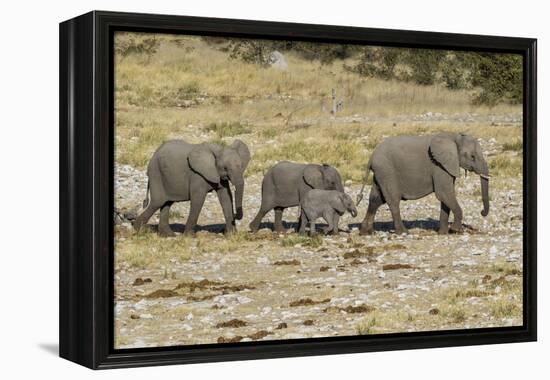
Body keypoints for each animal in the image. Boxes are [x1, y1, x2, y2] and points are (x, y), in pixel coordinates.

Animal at [360, 133, 494, 235]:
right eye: (472, 156)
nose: (482, 212)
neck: (453, 136)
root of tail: (371, 157)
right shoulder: (439, 166)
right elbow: (444, 194)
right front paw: (456, 230)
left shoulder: (447, 167)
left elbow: (445, 197)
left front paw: (443, 233)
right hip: (387, 171)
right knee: (392, 201)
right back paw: (403, 232)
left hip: (381, 173)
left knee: (375, 199)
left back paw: (366, 232)